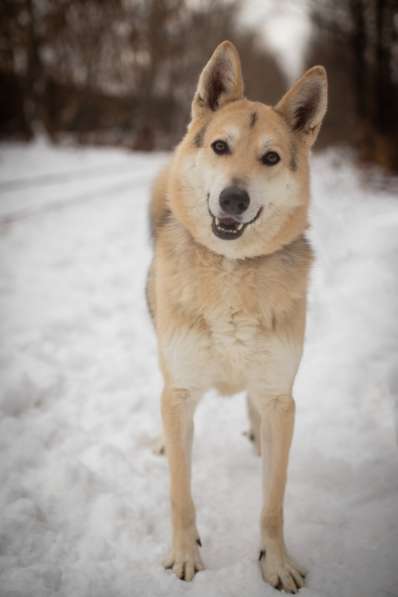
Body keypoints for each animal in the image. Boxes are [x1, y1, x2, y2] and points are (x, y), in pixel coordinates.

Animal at [146, 40, 326, 592]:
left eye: (270, 158)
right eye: (220, 147)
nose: (233, 198)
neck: (230, 270)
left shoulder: (281, 397)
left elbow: (273, 503)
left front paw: (276, 562)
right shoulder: (180, 390)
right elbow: (180, 493)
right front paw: (185, 556)